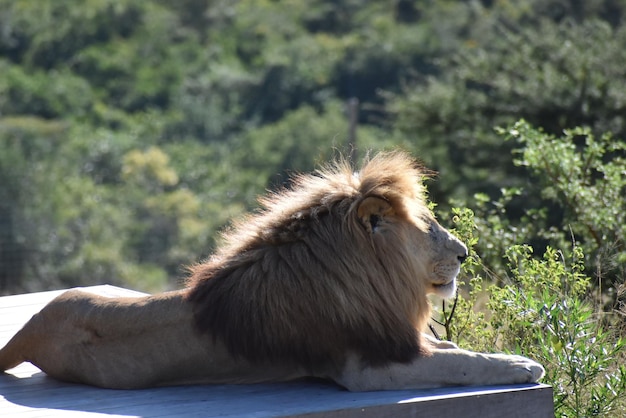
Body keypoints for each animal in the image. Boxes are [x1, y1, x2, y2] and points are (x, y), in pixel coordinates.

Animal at [0, 151, 540, 392]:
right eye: (429, 227)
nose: (465, 253)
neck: (370, 278)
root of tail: (29, 327)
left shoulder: (394, 340)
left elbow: (451, 350)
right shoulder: (363, 367)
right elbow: (464, 363)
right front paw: (521, 365)